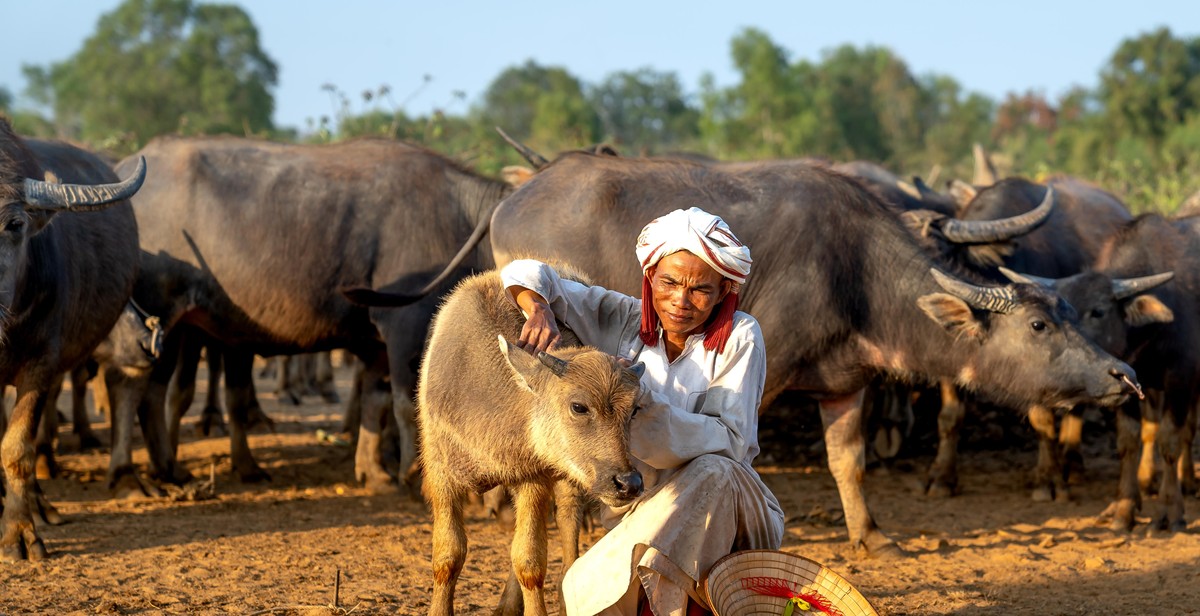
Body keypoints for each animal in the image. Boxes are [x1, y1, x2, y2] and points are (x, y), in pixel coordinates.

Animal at [114, 136, 504, 492]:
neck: (462, 218)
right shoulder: (406, 326)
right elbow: (408, 404)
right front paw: (411, 474)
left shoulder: (377, 346)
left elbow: (374, 402)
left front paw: (374, 472)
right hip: (156, 315)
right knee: (133, 385)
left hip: (174, 328)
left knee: (156, 393)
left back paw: (173, 468)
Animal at [422, 271, 648, 614]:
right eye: (578, 406)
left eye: (633, 409)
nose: (628, 483)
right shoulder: (441, 474)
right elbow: (448, 556)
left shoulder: (534, 480)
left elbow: (529, 562)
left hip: (568, 479)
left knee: (567, 519)